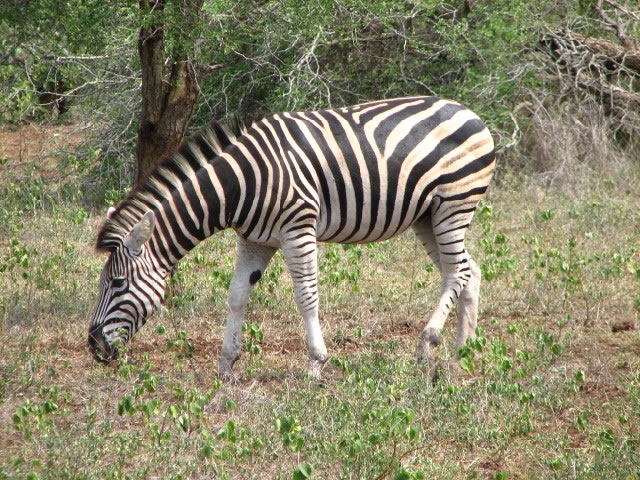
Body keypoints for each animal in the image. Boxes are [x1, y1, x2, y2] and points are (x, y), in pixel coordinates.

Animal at [89, 96, 495, 380]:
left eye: (118, 283)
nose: (93, 347)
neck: (240, 185)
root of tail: (469, 112)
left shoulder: (298, 229)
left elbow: (306, 297)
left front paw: (316, 364)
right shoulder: (255, 239)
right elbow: (237, 297)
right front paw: (226, 365)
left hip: (453, 204)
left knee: (458, 272)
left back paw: (427, 344)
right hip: (427, 216)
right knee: (468, 271)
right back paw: (463, 350)